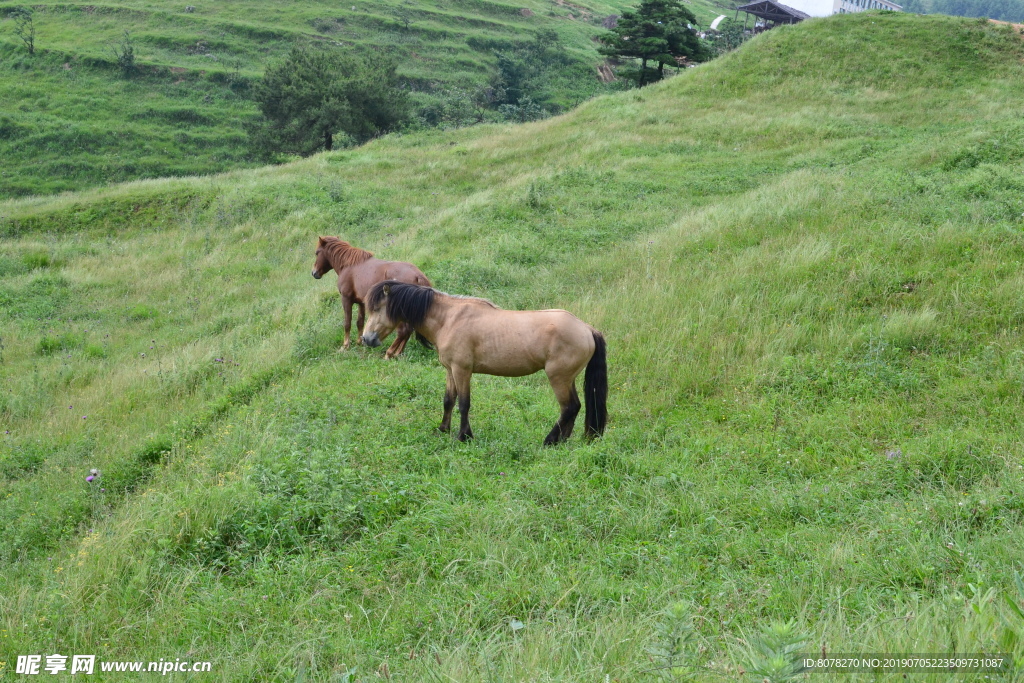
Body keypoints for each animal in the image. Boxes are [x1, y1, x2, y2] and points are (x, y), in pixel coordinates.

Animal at [358, 280, 602, 446]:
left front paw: (464, 436)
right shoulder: (450, 370)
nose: (367, 339)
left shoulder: (462, 370)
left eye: (377, 308)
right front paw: (443, 429)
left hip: (558, 378)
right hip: (568, 378)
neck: (449, 319)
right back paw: (562, 441)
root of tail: (587, 329)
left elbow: (464, 403)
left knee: (568, 408)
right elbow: (448, 400)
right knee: (575, 407)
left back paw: (549, 440)